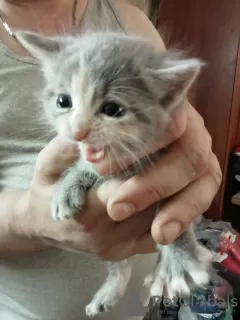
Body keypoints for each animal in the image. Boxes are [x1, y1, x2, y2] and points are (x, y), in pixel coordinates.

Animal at [16, 30, 212, 318]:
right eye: (63, 101)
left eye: (112, 109)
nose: (78, 132)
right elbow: (84, 167)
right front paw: (67, 188)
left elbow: (174, 212)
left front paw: (181, 259)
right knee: (120, 263)